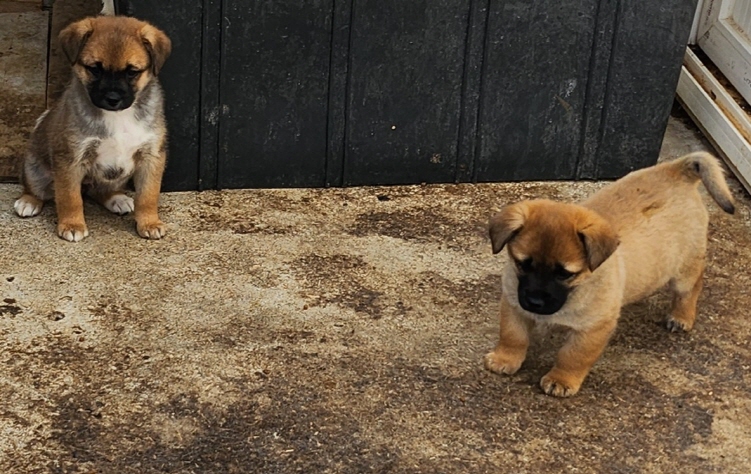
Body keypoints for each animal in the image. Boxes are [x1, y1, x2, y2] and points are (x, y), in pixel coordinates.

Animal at [14, 14, 172, 241]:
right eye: (95, 69)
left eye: (132, 72)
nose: (112, 99)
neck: (117, 116)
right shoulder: (70, 158)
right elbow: (70, 197)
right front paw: (72, 225)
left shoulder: (152, 156)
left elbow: (148, 195)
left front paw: (149, 222)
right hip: (34, 169)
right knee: (38, 188)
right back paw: (28, 201)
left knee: (100, 191)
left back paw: (116, 198)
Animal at [484, 152, 736, 396]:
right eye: (523, 264)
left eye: (564, 274)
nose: (535, 302)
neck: (577, 290)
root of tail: (676, 169)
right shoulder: (514, 305)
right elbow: (513, 336)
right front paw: (505, 359)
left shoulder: (594, 328)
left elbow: (573, 356)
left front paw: (562, 380)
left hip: (685, 269)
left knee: (691, 288)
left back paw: (681, 317)